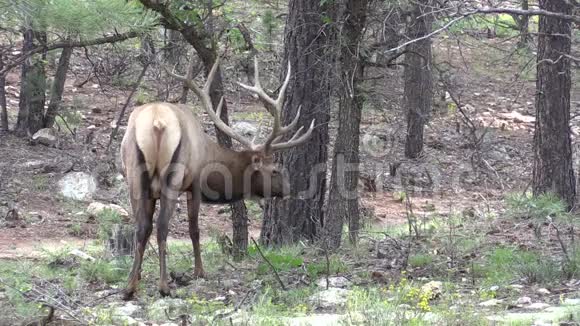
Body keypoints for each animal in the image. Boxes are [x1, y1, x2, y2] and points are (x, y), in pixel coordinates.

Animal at [119, 57, 314, 300]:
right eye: (275, 170)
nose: (288, 189)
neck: (208, 155)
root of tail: (157, 124)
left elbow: (144, 229)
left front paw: (137, 277)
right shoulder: (194, 185)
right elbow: (194, 229)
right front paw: (199, 271)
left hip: (134, 176)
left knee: (142, 226)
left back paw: (129, 288)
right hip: (172, 176)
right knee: (162, 226)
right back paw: (164, 286)